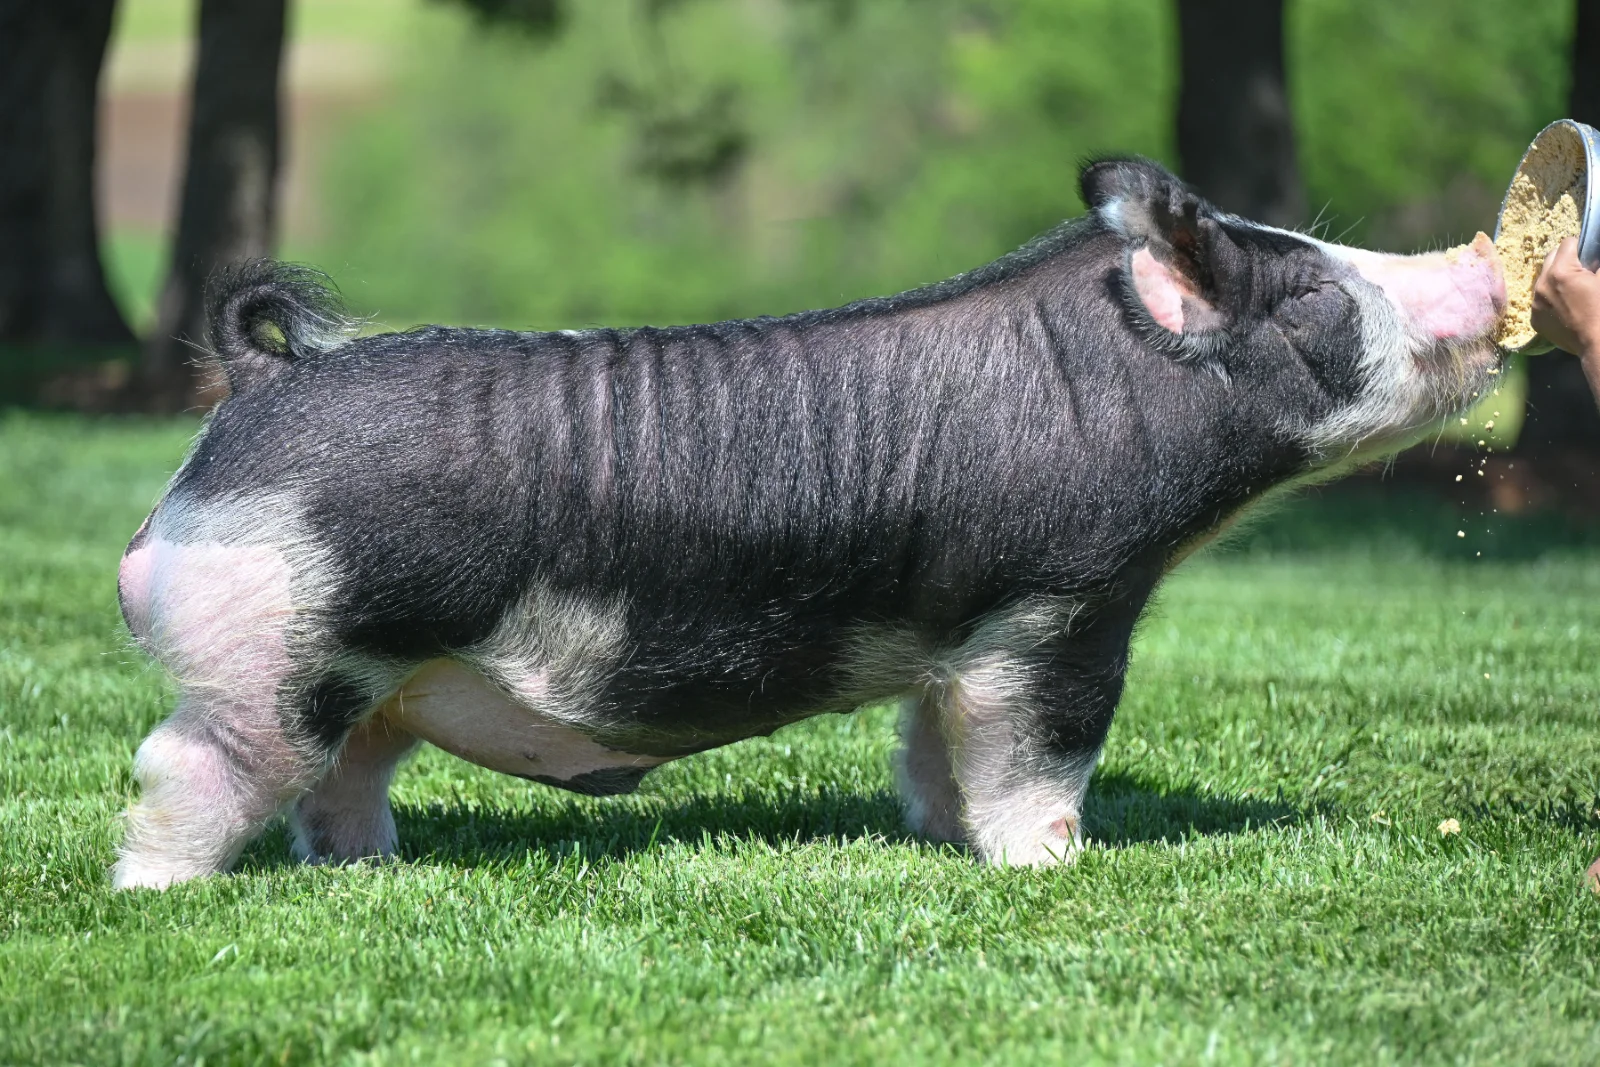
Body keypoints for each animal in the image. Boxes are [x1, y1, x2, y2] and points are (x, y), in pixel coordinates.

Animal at [112, 157, 1505, 888]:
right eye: (1313, 292)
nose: (1488, 266)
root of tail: (260, 383)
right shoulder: (1060, 606)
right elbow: (1042, 753)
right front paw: (1051, 865)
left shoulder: (957, 641)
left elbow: (935, 748)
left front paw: (943, 837)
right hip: (273, 652)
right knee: (186, 763)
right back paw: (160, 888)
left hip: (369, 674)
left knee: (344, 773)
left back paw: (364, 868)